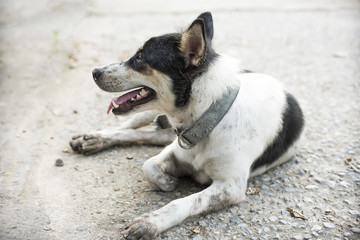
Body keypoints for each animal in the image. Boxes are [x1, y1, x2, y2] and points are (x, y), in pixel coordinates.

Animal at [69, 11, 304, 240]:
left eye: (140, 57)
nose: (95, 71)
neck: (207, 118)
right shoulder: (174, 151)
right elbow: (148, 165)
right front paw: (165, 181)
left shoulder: (230, 186)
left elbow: (184, 202)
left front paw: (150, 222)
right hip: (151, 114)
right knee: (127, 127)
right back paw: (93, 138)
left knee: (145, 135)